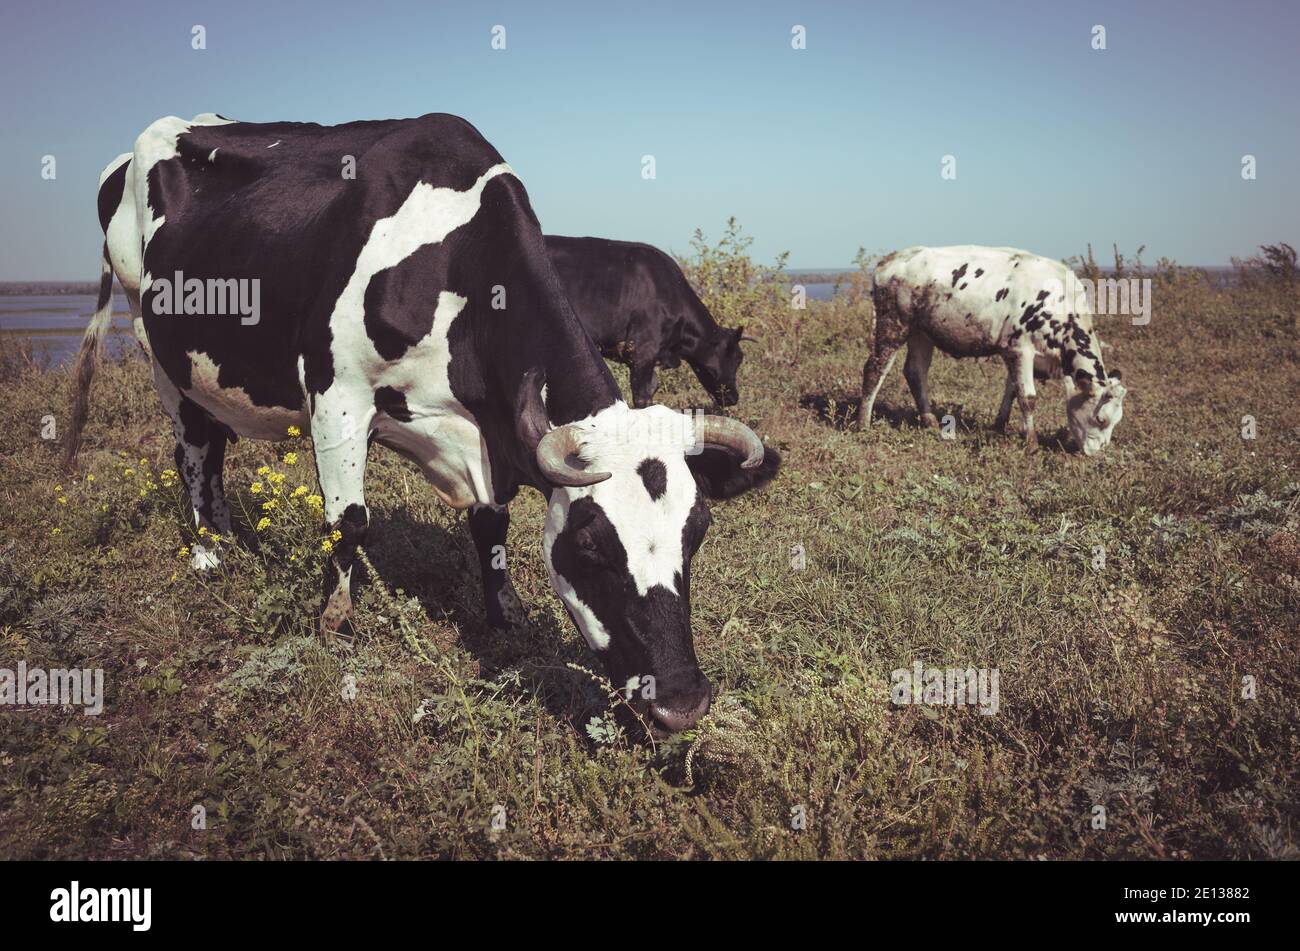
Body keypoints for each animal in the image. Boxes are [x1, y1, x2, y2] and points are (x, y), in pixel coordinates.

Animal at [857, 245, 1123, 452]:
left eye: (1116, 421)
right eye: (1100, 419)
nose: (1098, 451)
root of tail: (892, 258)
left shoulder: (1014, 351)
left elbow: (1012, 390)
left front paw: (999, 425)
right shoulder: (1020, 349)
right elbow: (1028, 397)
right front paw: (1032, 443)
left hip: (922, 333)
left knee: (915, 371)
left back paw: (930, 420)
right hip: (893, 324)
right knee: (875, 368)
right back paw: (863, 424)